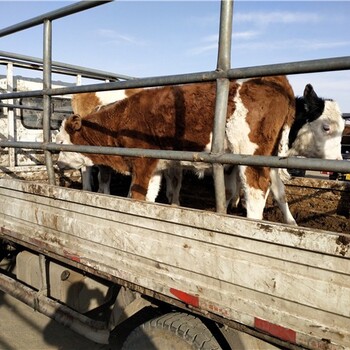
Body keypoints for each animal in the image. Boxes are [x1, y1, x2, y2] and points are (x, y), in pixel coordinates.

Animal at [56, 77, 344, 224]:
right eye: (327, 126)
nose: (57, 161)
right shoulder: (156, 166)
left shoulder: (143, 163)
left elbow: (137, 197)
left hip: (251, 157)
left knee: (255, 192)